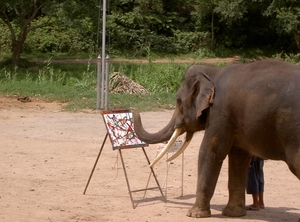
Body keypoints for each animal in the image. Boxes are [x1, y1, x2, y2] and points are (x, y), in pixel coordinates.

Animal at [132, 59, 300, 219]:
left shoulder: (219, 111)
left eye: (179, 101)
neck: (213, 72)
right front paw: (234, 214)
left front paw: (194, 214)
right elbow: (238, 157)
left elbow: (210, 152)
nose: (133, 109)